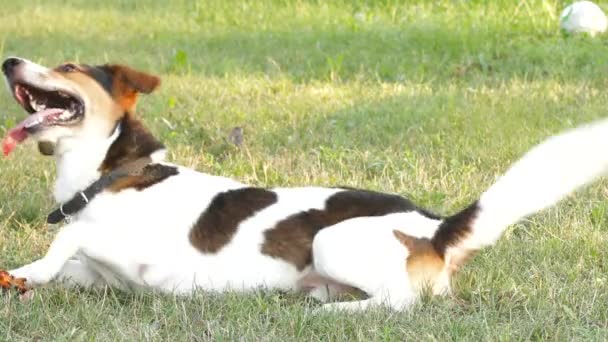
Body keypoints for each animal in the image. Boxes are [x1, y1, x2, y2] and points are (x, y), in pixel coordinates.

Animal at [1, 57, 608, 312]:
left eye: (70, 67)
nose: (10, 60)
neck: (114, 174)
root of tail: (437, 229)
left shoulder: (150, 261)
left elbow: (68, 237)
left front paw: (36, 268)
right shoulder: (103, 273)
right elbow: (63, 259)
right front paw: (24, 279)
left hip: (331, 240)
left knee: (400, 303)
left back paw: (335, 315)